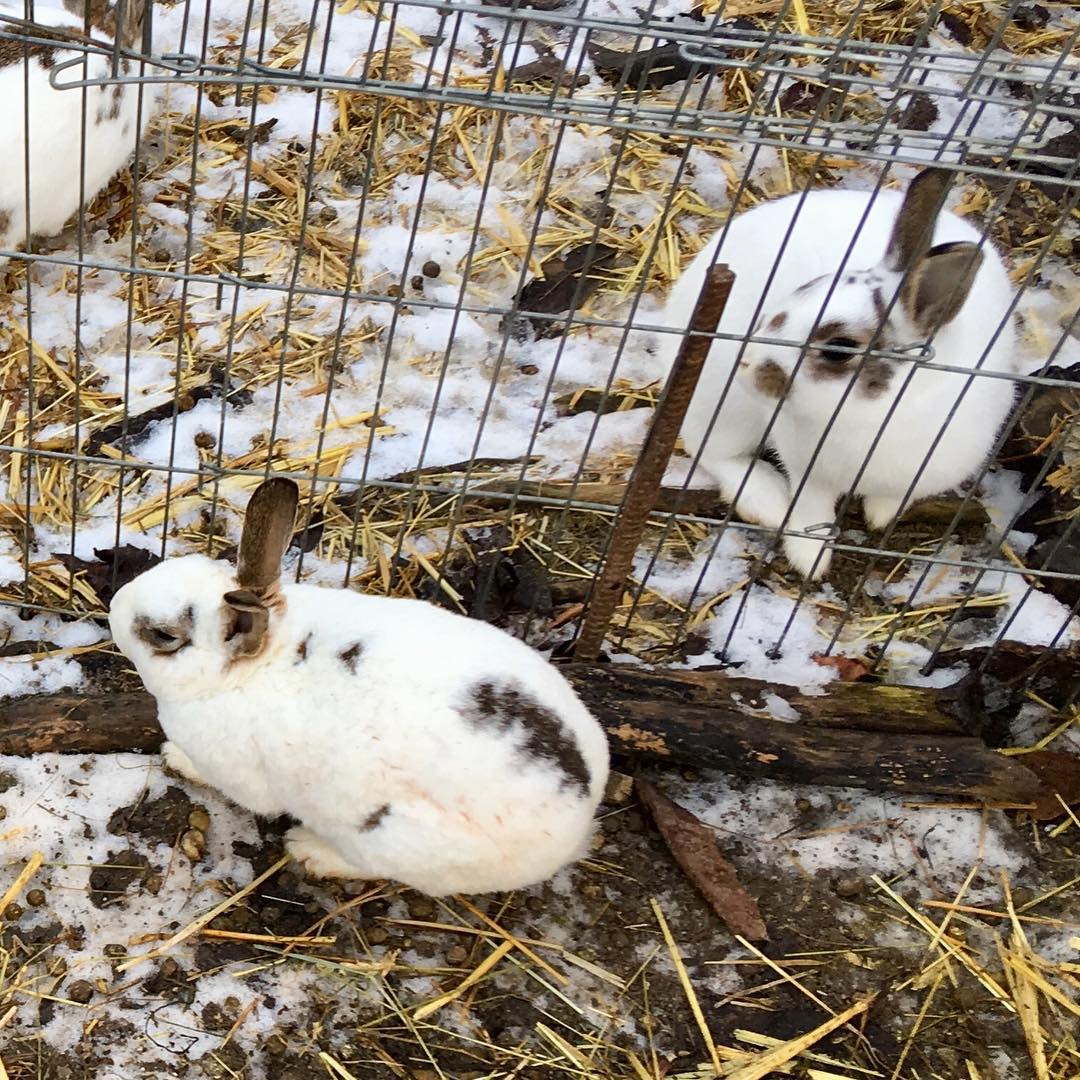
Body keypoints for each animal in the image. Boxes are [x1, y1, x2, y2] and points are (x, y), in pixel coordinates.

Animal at [108, 478, 611, 897]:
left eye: (164, 636)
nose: (113, 605)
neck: (261, 661)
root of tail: (578, 822)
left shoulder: (239, 775)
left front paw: (175, 757)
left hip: (390, 838)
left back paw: (310, 850)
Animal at [662, 167, 1019, 580]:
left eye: (839, 348)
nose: (746, 360)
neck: (876, 416)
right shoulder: (807, 470)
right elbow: (811, 514)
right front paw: (810, 561)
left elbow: (892, 497)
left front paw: (880, 516)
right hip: (724, 405)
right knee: (709, 449)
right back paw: (768, 501)